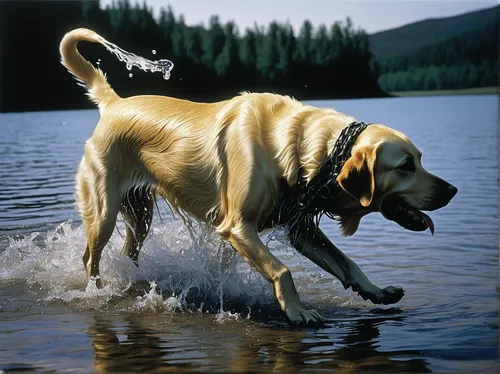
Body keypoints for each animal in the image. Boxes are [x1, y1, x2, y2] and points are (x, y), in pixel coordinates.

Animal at [58, 29, 458, 324]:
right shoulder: (238, 227)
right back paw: (97, 291)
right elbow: (282, 271)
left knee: (130, 250)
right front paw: (298, 311)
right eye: (405, 165)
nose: (453, 190)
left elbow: (347, 262)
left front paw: (375, 291)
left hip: (138, 213)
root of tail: (114, 103)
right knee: (90, 258)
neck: (305, 148)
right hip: (104, 210)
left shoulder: (301, 227)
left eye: (420, 159)